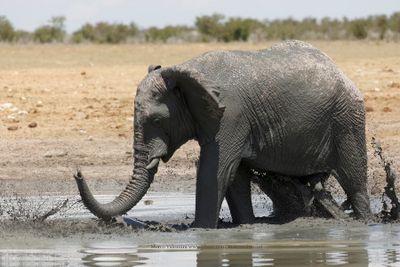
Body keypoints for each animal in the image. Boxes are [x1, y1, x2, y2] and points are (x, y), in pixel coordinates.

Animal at [74, 40, 368, 229]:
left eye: (157, 120)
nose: (78, 172)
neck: (185, 70)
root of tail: (341, 71)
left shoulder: (231, 117)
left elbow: (215, 171)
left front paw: (201, 231)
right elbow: (234, 176)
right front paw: (247, 226)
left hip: (347, 118)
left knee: (354, 180)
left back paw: (364, 221)